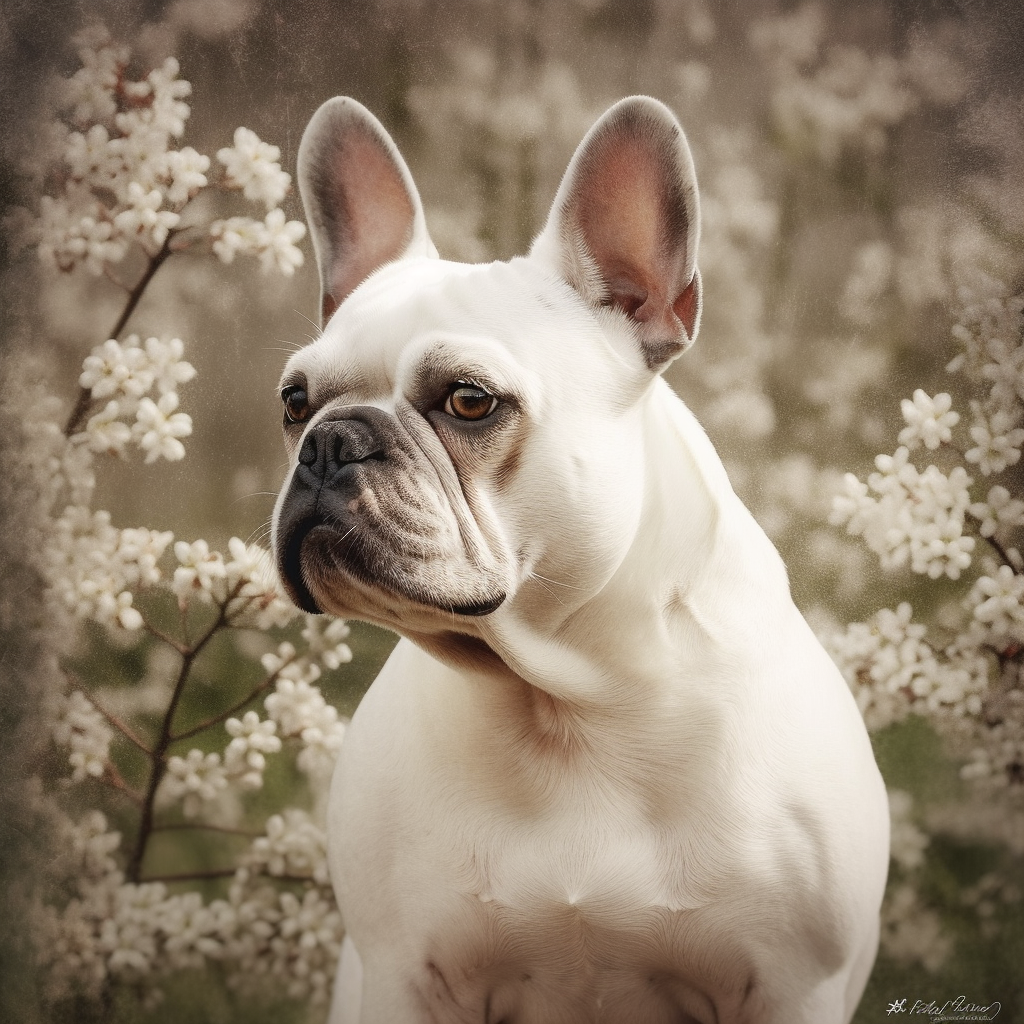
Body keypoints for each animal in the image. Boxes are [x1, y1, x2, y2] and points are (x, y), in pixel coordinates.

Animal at [272, 96, 888, 1024]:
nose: (329, 442)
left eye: (469, 401)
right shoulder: (401, 975)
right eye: (294, 401)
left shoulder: (792, 987)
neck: (574, 703)